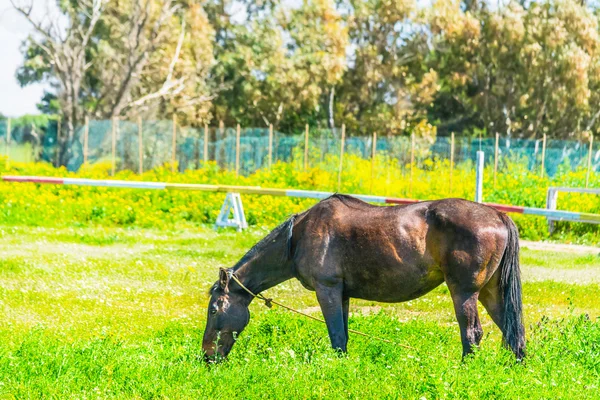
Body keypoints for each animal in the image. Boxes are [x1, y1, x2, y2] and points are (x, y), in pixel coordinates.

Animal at [203, 195, 524, 360]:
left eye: (215, 309)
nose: (206, 356)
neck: (298, 237)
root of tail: (498, 216)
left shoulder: (327, 290)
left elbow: (336, 335)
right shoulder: (342, 295)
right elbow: (342, 334)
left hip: (464, 292)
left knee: (472, 334)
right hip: (491, 293)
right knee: (512, 331)